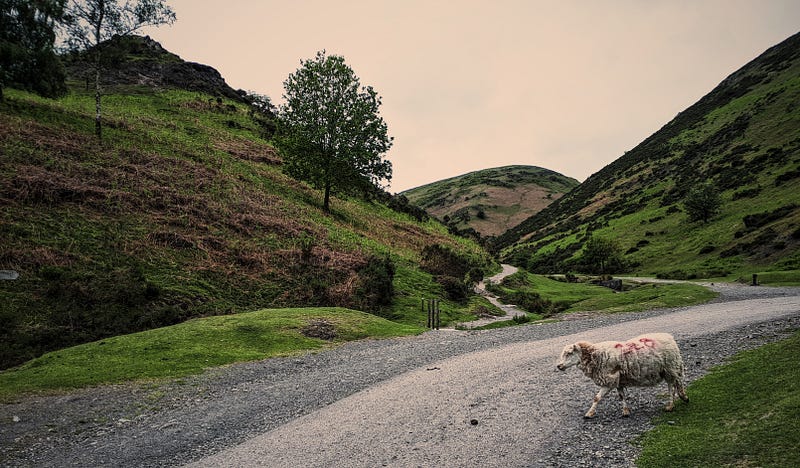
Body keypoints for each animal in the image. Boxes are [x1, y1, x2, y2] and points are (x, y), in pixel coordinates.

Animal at [556, 330, 688, 418]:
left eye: (569, 353)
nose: (559, 366)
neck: (596, 355)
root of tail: (669, 336)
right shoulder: (618, 380)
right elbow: (621, 396)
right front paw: (625, 411)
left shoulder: (609, 381)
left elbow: (597, 398)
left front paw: (589, 413)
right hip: (666, 370)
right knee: (673, 385)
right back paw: (675, 402)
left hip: (671, 367)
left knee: (675, 384)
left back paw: (678, 400)